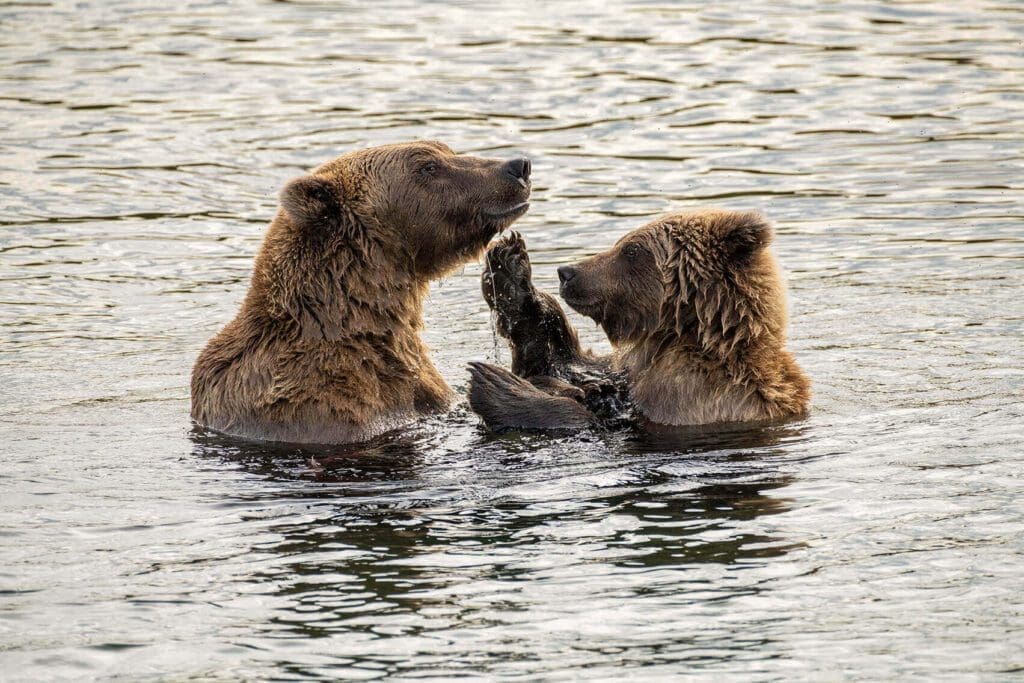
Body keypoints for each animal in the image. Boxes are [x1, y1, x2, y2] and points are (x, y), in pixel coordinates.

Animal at [468, 209, 811, 432]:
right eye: (624, 241)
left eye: (631, 249)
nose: (567, 272)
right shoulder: (628, 370)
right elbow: (571, 366)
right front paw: (509, 270)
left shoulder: (693, 397)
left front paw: (494, 383)